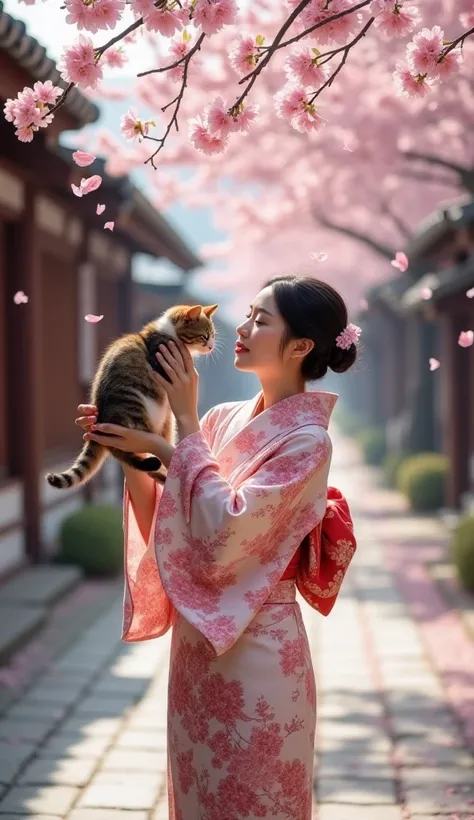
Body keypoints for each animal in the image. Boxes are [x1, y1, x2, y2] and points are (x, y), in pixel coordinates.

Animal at [44, 304, 218, 490]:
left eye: (213, 336)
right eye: (205, 336)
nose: (212, 347)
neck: (169, 333)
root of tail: (100, 422)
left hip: (164, 422)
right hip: (136, 410)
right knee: (131, 457)